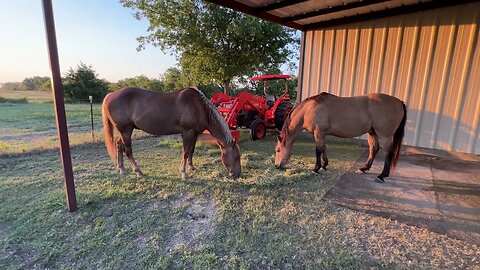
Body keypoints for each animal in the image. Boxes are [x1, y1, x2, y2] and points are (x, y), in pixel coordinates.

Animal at [102, 87, 242, 179]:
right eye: (236, 157)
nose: (237, 175)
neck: (199, 107)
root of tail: (110, 95)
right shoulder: (187, 133)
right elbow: (185, 152)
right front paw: (184, 173)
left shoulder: (194, 134)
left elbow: (191, 151)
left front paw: (191, 167)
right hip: (126, 130)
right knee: (128, 150)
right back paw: (138, 172)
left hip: (124, 131)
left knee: (119, 145)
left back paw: (122, 169)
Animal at [276, 92, 406, 182]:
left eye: (278, 150)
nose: (277, 166)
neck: (309, 109)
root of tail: (399, 102)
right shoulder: (322, 134)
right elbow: (323, 148)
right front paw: (324, 165)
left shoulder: (319, 132)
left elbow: (318, 150)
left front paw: (316, 169)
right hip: (372, 132)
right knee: (374, 149)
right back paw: (363, 169)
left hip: (385, 135)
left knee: (388, 152)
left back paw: (381, 176)